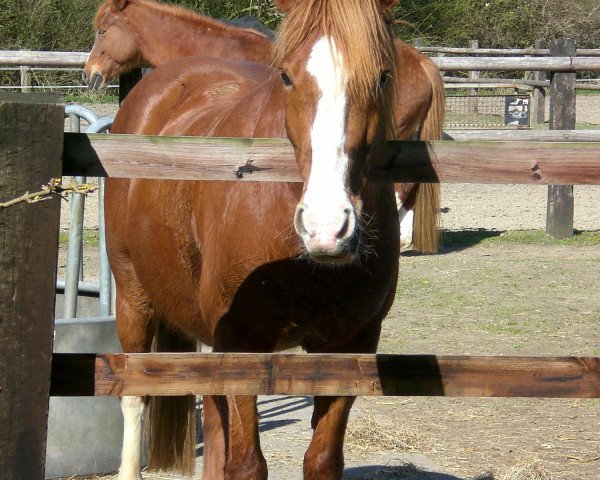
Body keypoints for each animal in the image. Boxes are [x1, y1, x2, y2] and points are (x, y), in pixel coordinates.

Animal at [108, 0, 408, 478]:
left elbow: (321, 460)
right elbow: (248, 463)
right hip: (133, 295)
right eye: (286, 76)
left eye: (382, 76)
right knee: (136, 396)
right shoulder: (241, 344)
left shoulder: (351, 346)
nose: (326, 227)